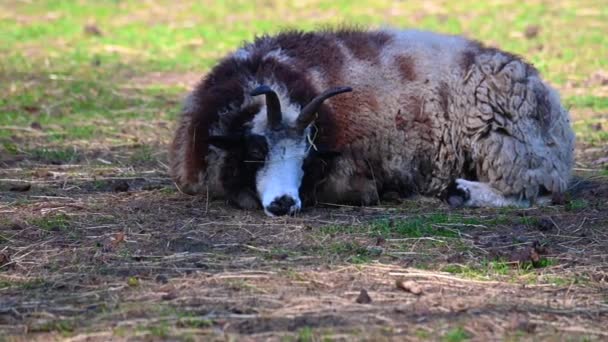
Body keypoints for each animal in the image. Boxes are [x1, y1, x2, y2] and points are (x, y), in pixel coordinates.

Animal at [170, 28, 576, 216]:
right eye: (256, 150)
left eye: (306, 159)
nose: (285, 203)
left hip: (508, 143)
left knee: (532, 193)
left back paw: (463, 192)